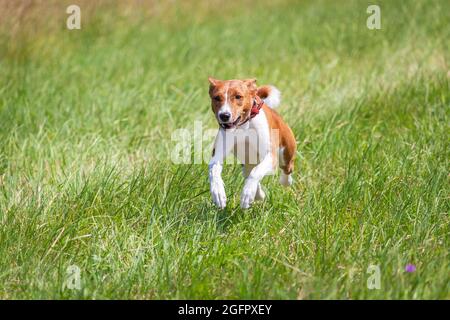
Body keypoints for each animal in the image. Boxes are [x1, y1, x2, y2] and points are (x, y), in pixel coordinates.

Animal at [207, 76, 296, 209]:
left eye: (238, 96)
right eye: (217, 97)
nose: (224, 115)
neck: (243, 126)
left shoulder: (270, 156)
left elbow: (256, 172)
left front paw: (247, 194)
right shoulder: (217, 156)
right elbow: (214, 171)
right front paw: (218, 194)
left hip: (286, 153)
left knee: (287, 168)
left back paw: (285, 182)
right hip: (247, 162)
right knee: (248, 172)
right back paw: (258, 195)